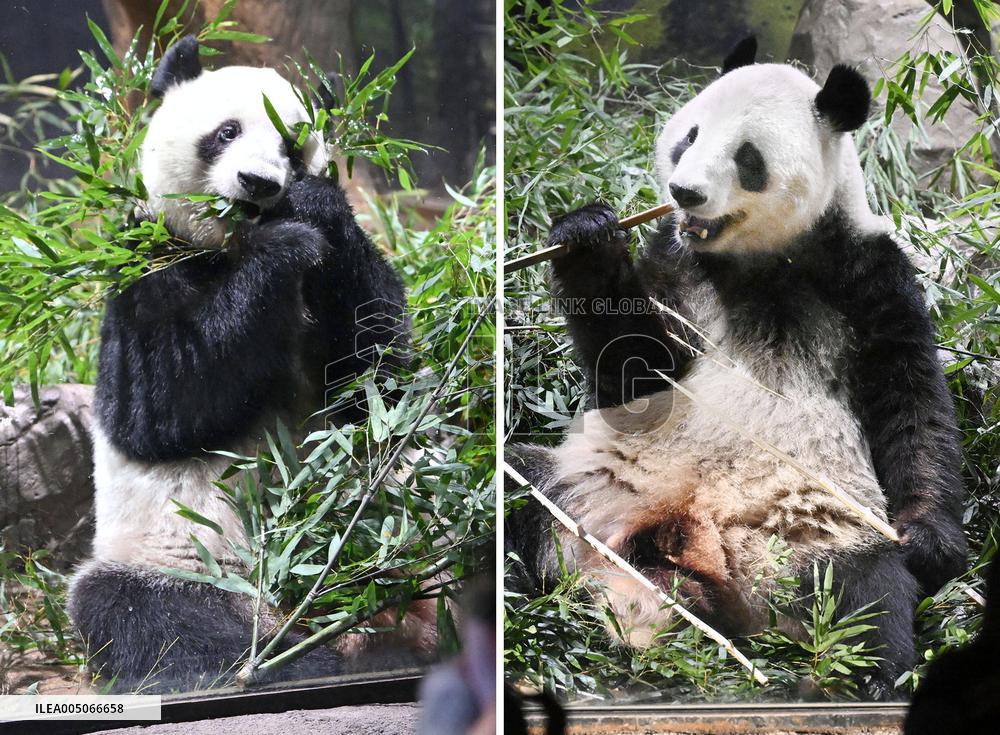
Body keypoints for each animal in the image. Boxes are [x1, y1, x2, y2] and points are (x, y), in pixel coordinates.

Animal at [68, 36, 412, 692]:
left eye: (291, 145)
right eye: (226, 131)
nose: (258, 183)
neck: (231, 247)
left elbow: (380, 377)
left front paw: (311, 209)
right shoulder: (145, 257)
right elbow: (154, 405)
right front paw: (284, 247)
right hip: (173, 557)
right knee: (147, 617)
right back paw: (286, 662)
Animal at [507, 38, 968, 697]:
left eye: (748, 157)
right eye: (689, 136)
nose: (684, 192)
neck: (756, 258)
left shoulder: (868, 272)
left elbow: (910, 398)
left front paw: (931, 542)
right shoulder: (676, 266)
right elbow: (637, 376)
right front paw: (587, 235)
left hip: (815, 542)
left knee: (867, 604)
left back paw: (864, 680)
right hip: (588, 493)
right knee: (517, 490)